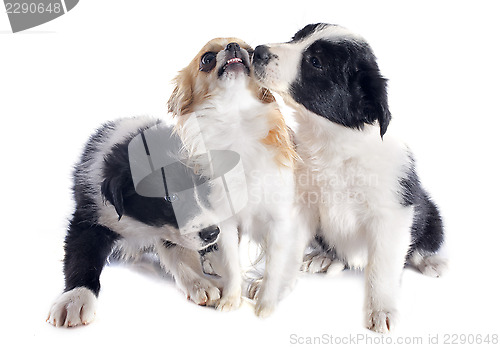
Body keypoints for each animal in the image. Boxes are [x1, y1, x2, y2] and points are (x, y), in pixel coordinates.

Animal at [47, 116, 223, 326]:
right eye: (171, 198)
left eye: (205, 188)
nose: (212, 233)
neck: (140, 223)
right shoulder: (89, 218)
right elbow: (82, 256)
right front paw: (76, 298)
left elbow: (181, 254)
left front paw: (199, 282)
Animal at [168, 37, 302, 316]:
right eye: (207, 59)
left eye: (250, 52)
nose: (232, 46)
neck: (236, 121)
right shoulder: (226, 222)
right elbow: (232, 263)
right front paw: (231, 299)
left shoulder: (280, 221)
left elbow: (275, 267)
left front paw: (266, 303)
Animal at [256, 23, 448, 334]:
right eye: (296, 38)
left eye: (316, 62)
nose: (257, 51)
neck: (333, 144)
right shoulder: (301, 203)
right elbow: (287, 250)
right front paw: (270, 288)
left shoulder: (392, 214)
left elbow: (383, 267)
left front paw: (382, 309)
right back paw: (324, 258)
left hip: (430, 211)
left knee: (420, 244)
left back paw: (432, 262)